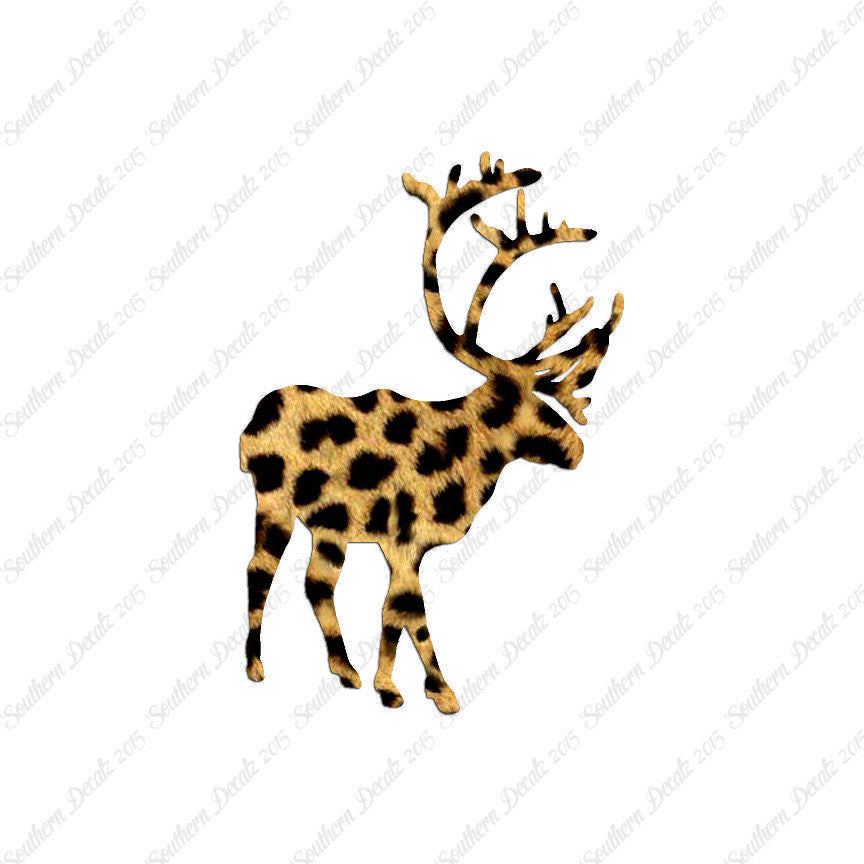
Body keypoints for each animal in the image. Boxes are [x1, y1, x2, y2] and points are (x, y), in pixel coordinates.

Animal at [240, 152, 624, 713]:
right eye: (515, 402)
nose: (575, 450)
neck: (466, 466)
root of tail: (249, 428)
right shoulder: (404, 540)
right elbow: (410, 613)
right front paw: (438, 692)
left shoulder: (400, 546)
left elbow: (391, 614)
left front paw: (387, 685)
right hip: (274, 503)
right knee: (259, 572)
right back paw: (256, 665)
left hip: (329, 526)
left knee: (317, 585)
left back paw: (345, 670)